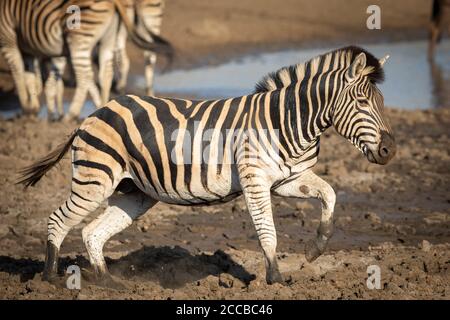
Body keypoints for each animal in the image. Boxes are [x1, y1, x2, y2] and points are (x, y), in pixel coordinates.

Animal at [0, 0, 172, 120]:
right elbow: (34, 75)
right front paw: (39, 107)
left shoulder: (8, 38)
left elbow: (19, 71)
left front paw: (29, 109)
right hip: (143, 18)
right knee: (134, 60)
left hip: (81, 35)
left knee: (88, 73)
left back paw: (71, 114)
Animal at [18, 46, 398, 286]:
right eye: (361, 101)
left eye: (382, 101)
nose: (390, 150)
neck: (288, 122)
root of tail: (94, 114)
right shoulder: (255, 180)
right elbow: (268, 231)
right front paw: (275, 280)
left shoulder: (288, 180)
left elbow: (330, 194)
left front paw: (316, 248)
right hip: (94, 179)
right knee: (58, 220)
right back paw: (50, 280)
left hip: (134, 192)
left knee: (91, 233)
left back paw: (111, 284)